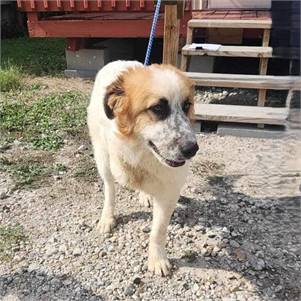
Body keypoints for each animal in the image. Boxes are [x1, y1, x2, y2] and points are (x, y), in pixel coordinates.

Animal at [86, 60, 198, 274]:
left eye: (187, 105)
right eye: (158, 108)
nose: (192, 149)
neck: (143, 154)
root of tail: (120, 61)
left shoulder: (169, 192)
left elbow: (158, 231)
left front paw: (157, 259)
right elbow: (110, 192)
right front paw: (107, 218)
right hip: (101, 155)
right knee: (109, 187)